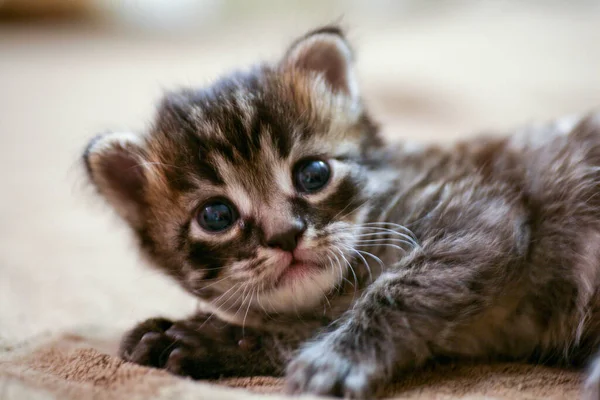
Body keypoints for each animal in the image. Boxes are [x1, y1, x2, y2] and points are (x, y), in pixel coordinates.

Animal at [85, 26, 600, 398]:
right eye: (216, 216)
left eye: (312, 174)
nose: (286, 234)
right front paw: (205, 339)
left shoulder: (478, 216)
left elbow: (398, 289)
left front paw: (340, 357)